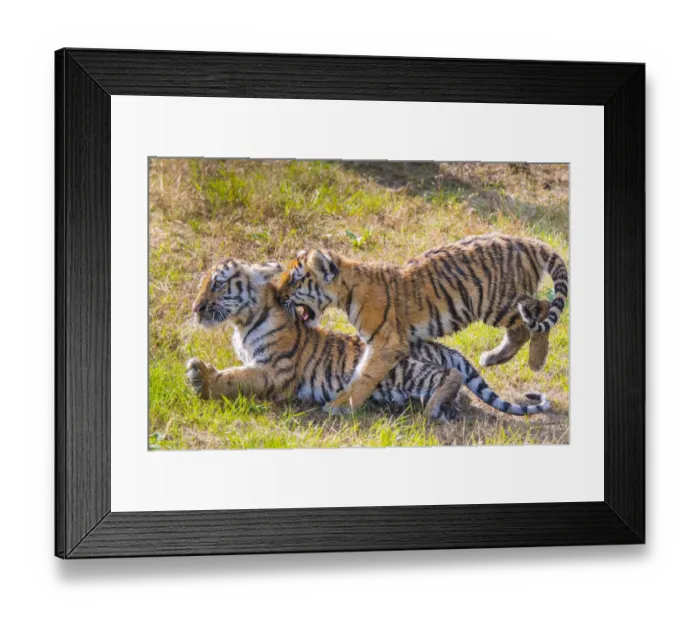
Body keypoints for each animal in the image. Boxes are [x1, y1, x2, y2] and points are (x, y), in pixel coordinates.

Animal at [185, 258, 551, 420]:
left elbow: (237, 378)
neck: (243, 323)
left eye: (218, 284)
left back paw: (434, 407)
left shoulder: (277, 370)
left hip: (405, 371)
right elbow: (238, 372)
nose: (195, 308)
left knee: (451, 375)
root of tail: (441, 348)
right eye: (202, 284)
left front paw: (201, 378)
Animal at [277, 233, 568, 414]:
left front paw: (339, 406)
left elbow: (364, 376)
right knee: (534, 314)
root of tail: (529, 242)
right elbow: (359, 373)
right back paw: (494, 358)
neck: (346, 290)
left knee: (536, 314)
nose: (278, 296)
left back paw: (535, 361)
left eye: (294, 280)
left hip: (496, 303)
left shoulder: (385, 344)